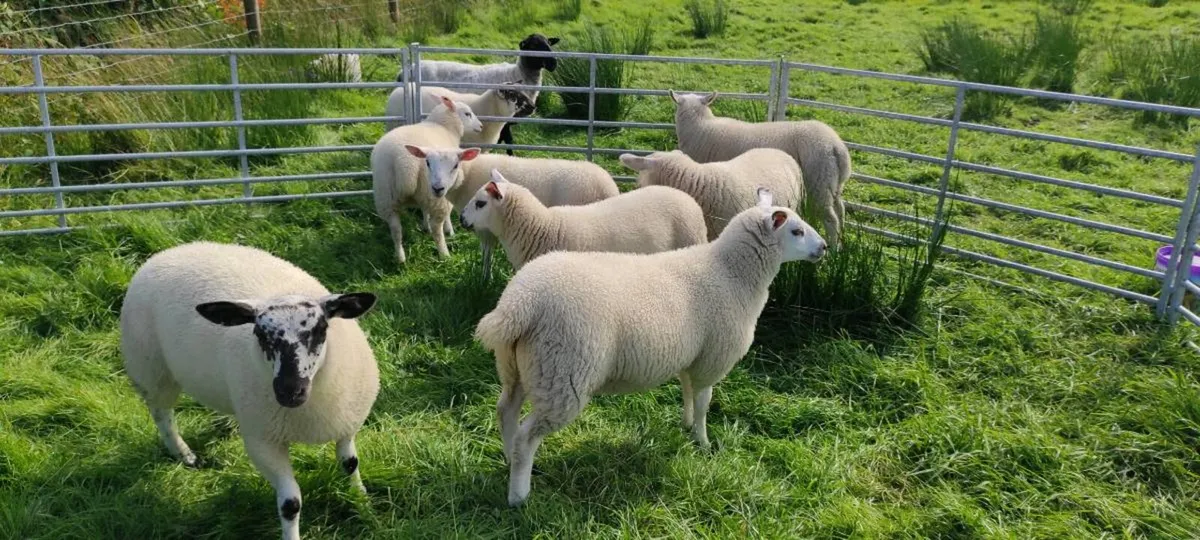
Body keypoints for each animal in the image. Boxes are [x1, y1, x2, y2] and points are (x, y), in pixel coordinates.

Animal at [120, 241, 379, 540]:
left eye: (321, 329)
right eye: (259, 334)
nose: (289, 391)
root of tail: (173, 250)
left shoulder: (346, 425)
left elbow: (350, 464)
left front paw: (363, 504)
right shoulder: (263, 443)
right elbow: (290, 504)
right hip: (152, 369)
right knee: (162, 414)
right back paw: (184, 454)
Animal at [371, 95, 483, 264]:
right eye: (467, 114)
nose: (481, 126)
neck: (444, 127)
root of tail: (404, 161)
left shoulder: (424, 193)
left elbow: (423, 209)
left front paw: (424, 227)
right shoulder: (443, 188)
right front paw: (449, 230)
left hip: (385, 196)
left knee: (395, 229)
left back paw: (400, 258)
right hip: (433, 196)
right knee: (437, 228)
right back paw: (444, 254)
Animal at [404, 33, 560, 156]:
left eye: (548, 42)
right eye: (534, 44)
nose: (553, 64)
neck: (516, 73)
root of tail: (409, 68)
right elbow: (508, 142)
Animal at [475, 188, 828, 506]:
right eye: (796, 231)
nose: (823, 247)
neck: (730, 273)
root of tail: (521, 302)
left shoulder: (691, 355)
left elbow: (687, 392)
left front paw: (686, 426)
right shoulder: (712, 359)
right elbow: (704, 402)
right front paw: (703, 442)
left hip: (520, 367)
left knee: (506, 411)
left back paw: (508, 460)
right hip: (563, 372)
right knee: (527, 437)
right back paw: (519, 495)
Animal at [669, 90, 852, 244]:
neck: (701, 125)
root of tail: (836, 146)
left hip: (818, 182)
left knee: (830, 218)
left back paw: (832, 249)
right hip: (833, 182)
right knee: (840, 209)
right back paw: (841, 241)